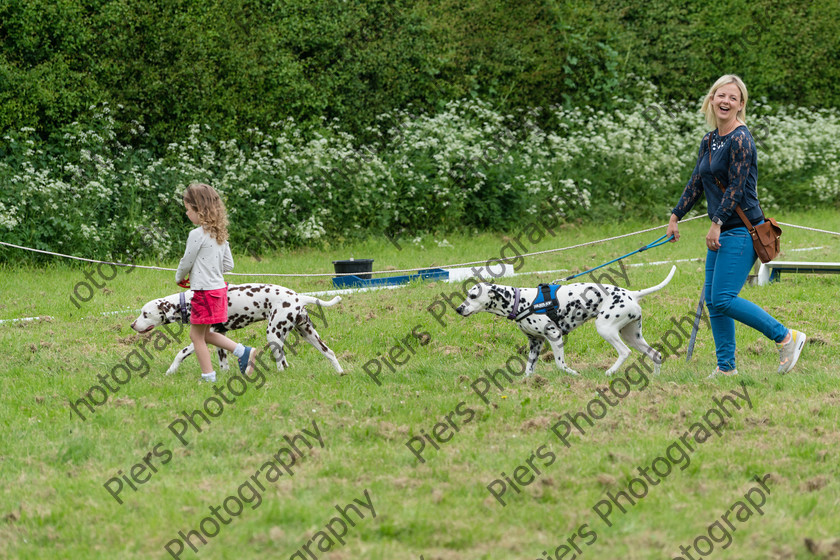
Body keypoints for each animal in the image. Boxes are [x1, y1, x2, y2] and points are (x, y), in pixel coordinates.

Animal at [130, 284, 342, 376]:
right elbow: (223, 362)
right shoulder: (218, 335)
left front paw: (171, 370)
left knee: (282, 363)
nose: (132, 325)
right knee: (329, 352)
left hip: (273, 335)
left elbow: (180, 353)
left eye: (145, 314)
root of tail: (300, 297)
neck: (187, 302)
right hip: (307, 334)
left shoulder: (202, 337)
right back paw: (340, 372)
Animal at [452, 266, 676, 376]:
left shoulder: (554, 335)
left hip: (606, 329)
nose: (458, 309)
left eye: (472, 296)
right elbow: (529, 370)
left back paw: (610, 372)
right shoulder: (535, 343)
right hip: (632, 336)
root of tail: (631, 294)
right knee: (655, 354)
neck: (521, 302)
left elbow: (560, 365)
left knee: (624, 352)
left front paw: (573, 374)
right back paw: (655, 377)